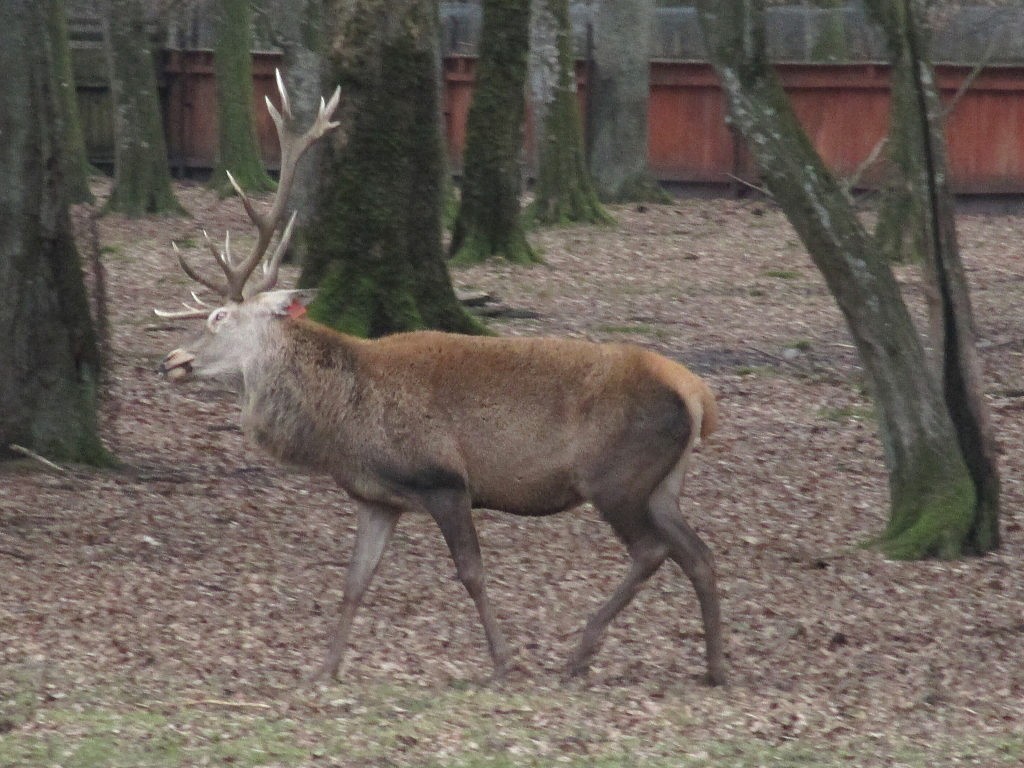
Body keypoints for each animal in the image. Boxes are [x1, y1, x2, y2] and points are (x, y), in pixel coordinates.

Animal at [156, 71, 726, 687]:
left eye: (218, 317)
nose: (172, 360)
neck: (343, 428)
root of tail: (696, 393)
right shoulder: (377, 496)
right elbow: (355, 582)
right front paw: (325, 668)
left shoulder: (444, 480)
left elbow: (471, 573)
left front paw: (502, 661)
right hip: (662, 482)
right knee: (698, 553)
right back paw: (714, 666)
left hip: (615, 476)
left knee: (651, 551)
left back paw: (581, 651)